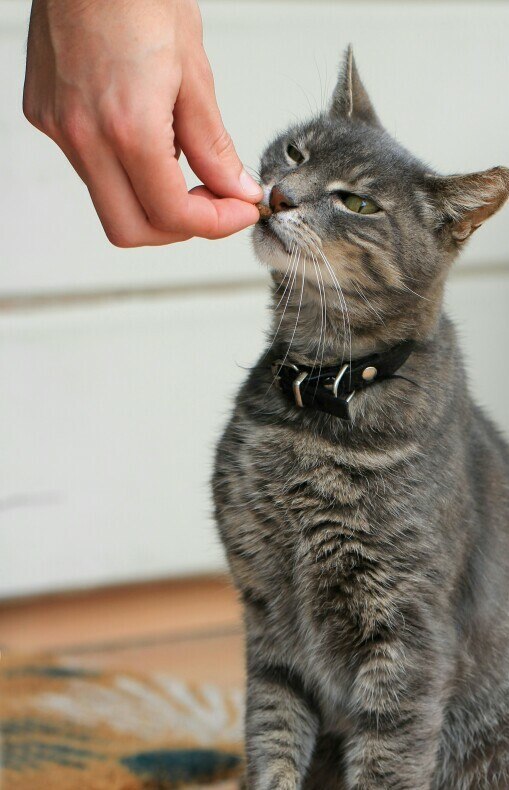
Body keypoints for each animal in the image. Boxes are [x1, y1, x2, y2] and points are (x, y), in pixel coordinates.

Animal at [212, 46, 508, 788]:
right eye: (297, 151)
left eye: (357, 203)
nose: (280, 196)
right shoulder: (269, 621)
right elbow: (271, 741)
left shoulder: (408, 637)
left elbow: (386, 761)